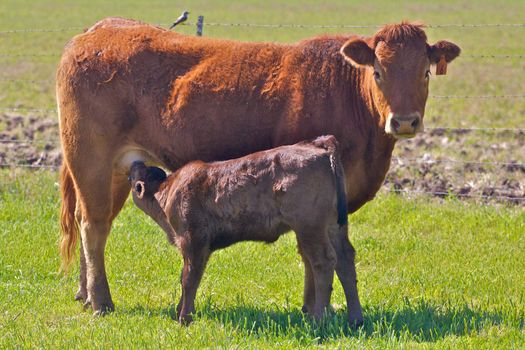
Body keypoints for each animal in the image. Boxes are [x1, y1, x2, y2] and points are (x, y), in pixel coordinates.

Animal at [129, 136, 362, 326]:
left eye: (134, 178)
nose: (135, 163)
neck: (167, 189)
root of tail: (317, 144)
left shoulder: (193, 242)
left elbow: (189, 278)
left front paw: (184, 319)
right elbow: (188, 277)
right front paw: (181, 312)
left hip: (310, 228)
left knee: (323, 262)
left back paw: (319, 320)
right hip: (333, 227)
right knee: (344, 260)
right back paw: (354, 320)